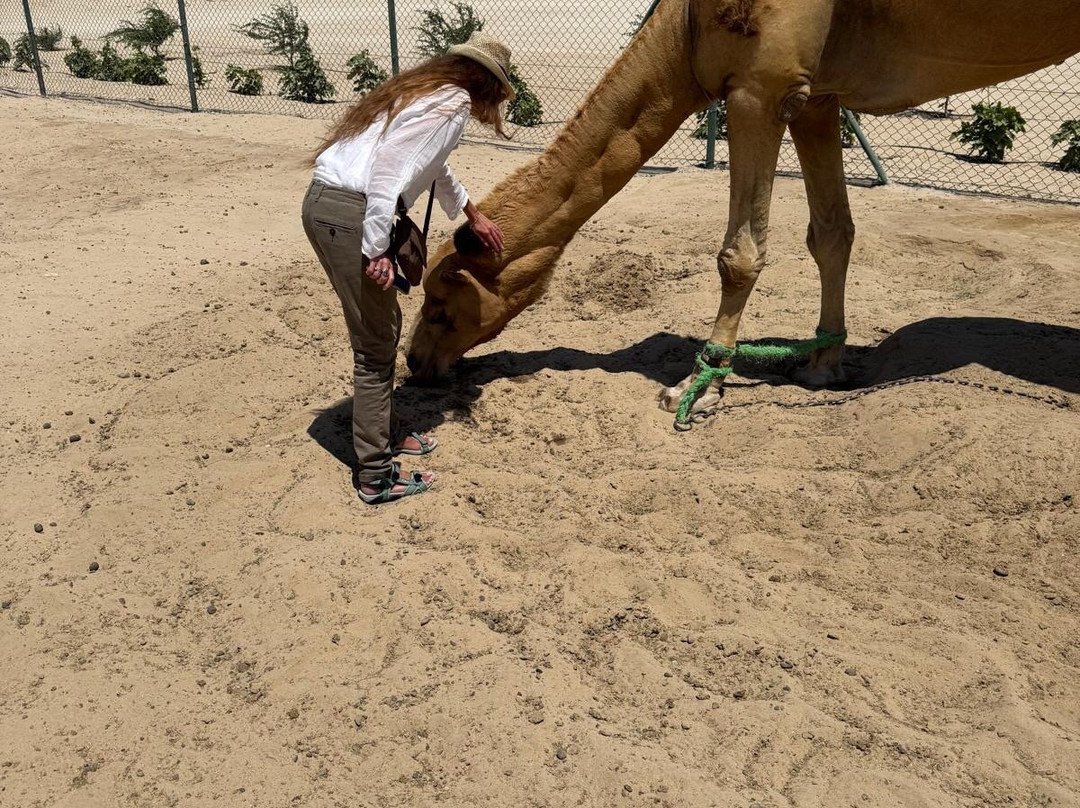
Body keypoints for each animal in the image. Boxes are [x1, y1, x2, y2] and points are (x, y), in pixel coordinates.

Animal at [405, 0, 1080, 418]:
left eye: (440, 302)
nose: (415, 364)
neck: (685, 28)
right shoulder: (817, 96)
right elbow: (831, 233)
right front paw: (824, 366)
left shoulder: (761, 87)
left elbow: (740, 253)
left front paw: (699, 386)